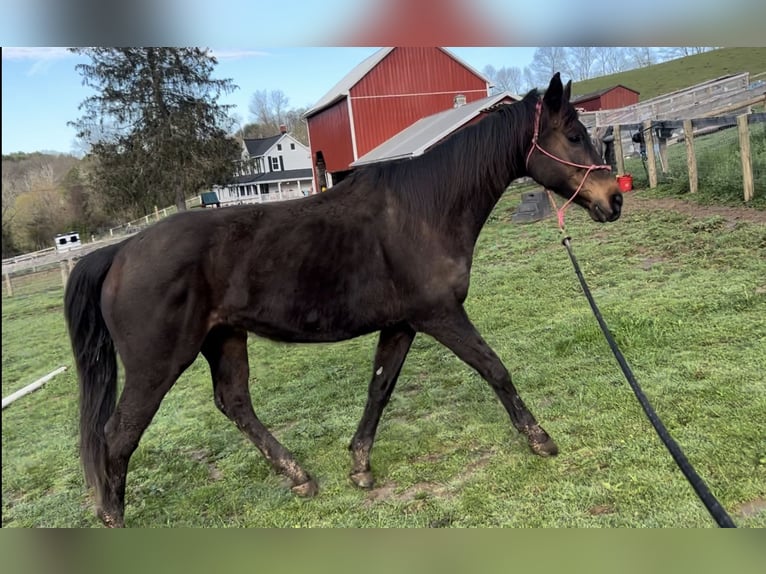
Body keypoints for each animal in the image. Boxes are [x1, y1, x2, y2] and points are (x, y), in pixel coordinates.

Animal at [66, 74, 624, 528]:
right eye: (573, 134)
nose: (613, 198)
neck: (425, 210)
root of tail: (120, 252)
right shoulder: (440, 315)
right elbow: (495, 368)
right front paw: (539, 438)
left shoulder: (403, 324)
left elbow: (379, 389)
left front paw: (359, 465)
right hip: (157, 365)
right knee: (118, 434)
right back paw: (114, 516)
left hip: (224, 339)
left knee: (234, 402)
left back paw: (299, 476)